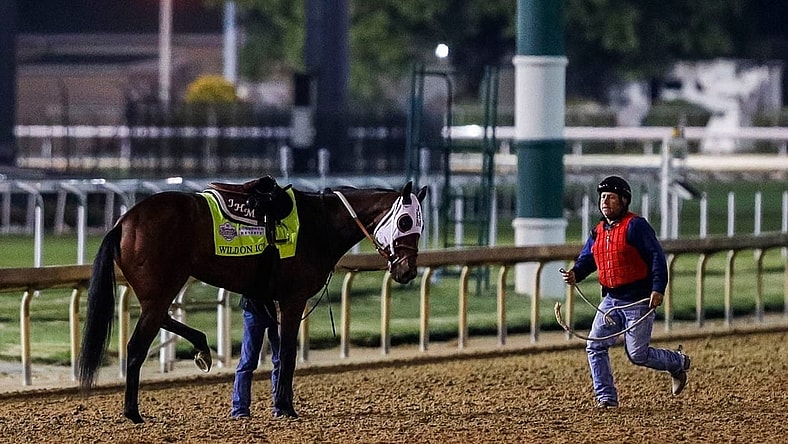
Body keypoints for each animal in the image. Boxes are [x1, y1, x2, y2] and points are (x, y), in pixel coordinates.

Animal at [77, 178, 428, 423]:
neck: (321, 224)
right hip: (161, 290)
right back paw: (133, 412)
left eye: (420, 225)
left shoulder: (269, 298)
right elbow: (287, 354)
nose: (407, 271)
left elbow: (276, 351)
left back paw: (202, 347)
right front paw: (286, 407)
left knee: (161, 317)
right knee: (136, 348)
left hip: (157, 292)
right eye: (405, 222)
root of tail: (123, 222)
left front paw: (279, 403)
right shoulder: (293, 298)